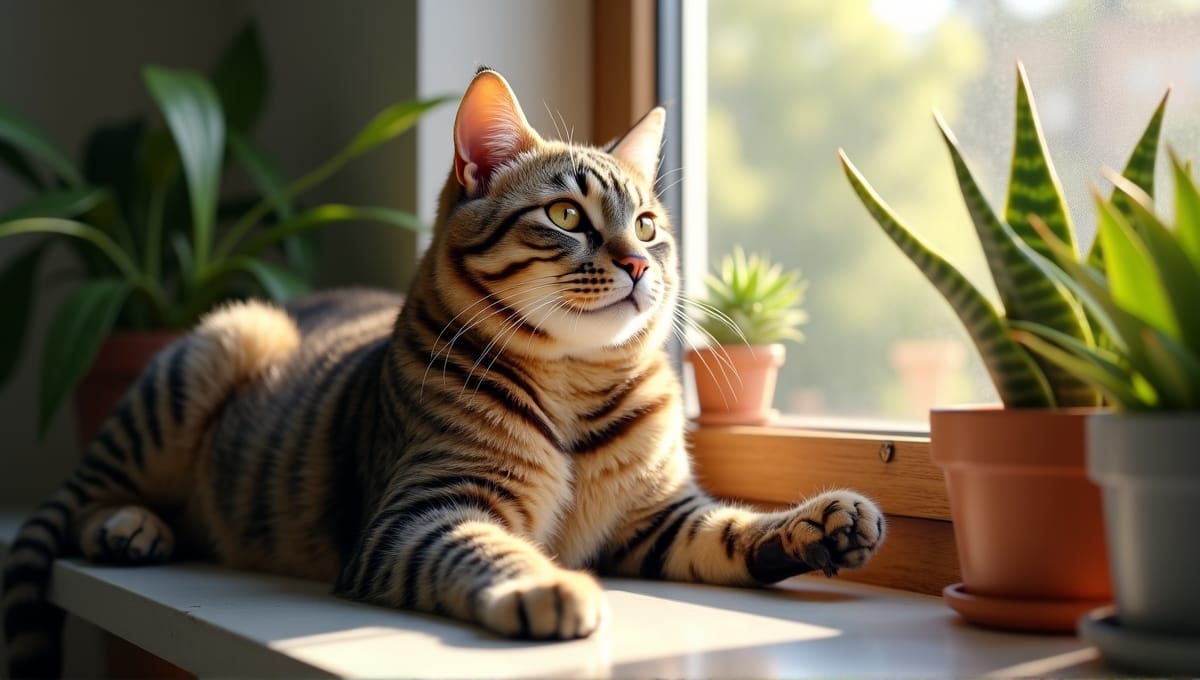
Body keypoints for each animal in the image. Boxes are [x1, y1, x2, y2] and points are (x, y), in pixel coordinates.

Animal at [0, 67, 883, 676]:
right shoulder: (424, 511)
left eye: (647, 224)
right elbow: (487, 550)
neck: (576, 383)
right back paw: (128, 525)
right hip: (213, 353)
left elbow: (737, 527)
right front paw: (548, 585)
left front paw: (819, 521)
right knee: (76, 500)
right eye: (566, 215)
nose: (638, 264)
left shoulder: (658, 518)